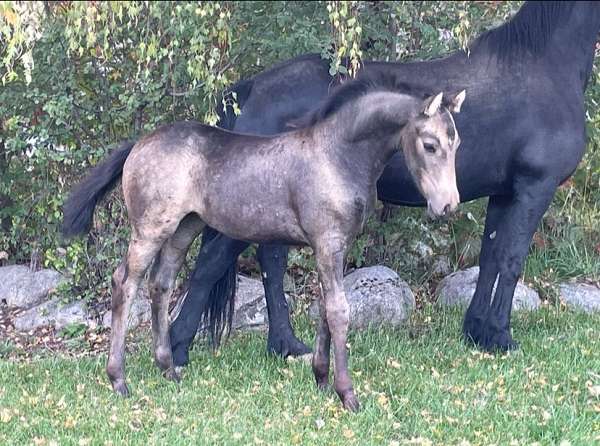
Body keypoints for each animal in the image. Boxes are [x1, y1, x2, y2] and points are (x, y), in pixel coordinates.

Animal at [63, 75, 464, 410]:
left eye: (456, 141)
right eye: (429, 145)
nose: (448, 206)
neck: (337, 156)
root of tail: (139, 143)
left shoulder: (334, 246)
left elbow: (325, 308)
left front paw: (320, 380)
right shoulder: (328, 242)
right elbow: (339, 311)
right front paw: (347, 394)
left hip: (183, 228)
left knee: (160, 284)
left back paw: (169, 370)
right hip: (150, 228)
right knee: (125, 282)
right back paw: (119, 380)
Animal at [168, 0, 600, 366]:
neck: (544, 66)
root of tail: (253, 87)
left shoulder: (504, 193)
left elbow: (491, 260)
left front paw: (477, 331)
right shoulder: (533, 188)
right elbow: (511, 261)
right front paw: (500, 337)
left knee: (268, 263)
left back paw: (285, 346)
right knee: (212, 263)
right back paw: (178, 348)